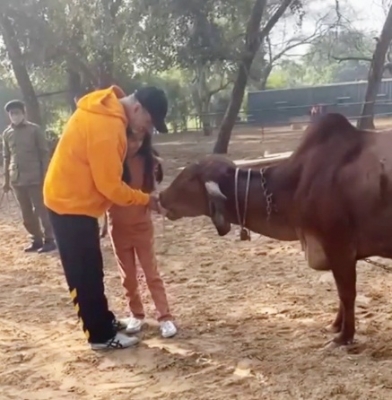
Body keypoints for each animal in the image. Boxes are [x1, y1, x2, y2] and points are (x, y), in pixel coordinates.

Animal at [158, 112, 392, 346]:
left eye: (189, 177)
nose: (161, 196)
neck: (296, 184)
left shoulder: (339, 247)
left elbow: (346, 293)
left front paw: (344, 336)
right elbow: (341, 294)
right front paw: (336, 326)